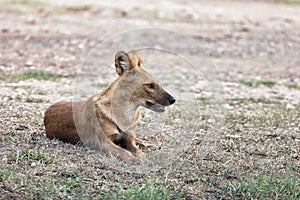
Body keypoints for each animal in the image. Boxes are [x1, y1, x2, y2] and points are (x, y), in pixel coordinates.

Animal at [44, 49, 176, 162]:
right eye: (149, 85)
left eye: (157, 84)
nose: (173, 100)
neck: (126, 114)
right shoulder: (105, 143)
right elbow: (125, 153)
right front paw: (135, 160)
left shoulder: (128, 139)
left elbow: (138, 151)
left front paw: (145, 160)